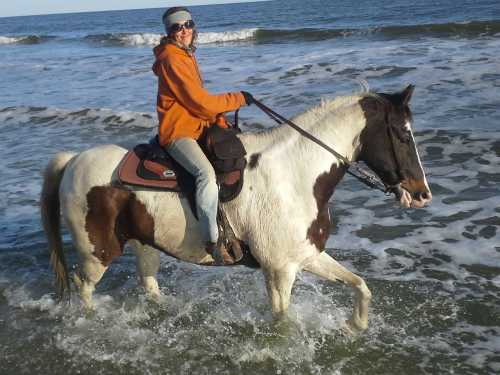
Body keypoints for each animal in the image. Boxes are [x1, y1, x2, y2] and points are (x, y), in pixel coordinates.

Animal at [41, 84, 430, 332]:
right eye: (403, 134)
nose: (422, 193)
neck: (295, 174)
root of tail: (73, 160)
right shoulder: (280, 270)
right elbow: (283, 322)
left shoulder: (305, 256)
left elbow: (361, 285)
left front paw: (354, 326)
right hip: (98, 252)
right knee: (84, 286)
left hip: (144, 244)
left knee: (148, 284)